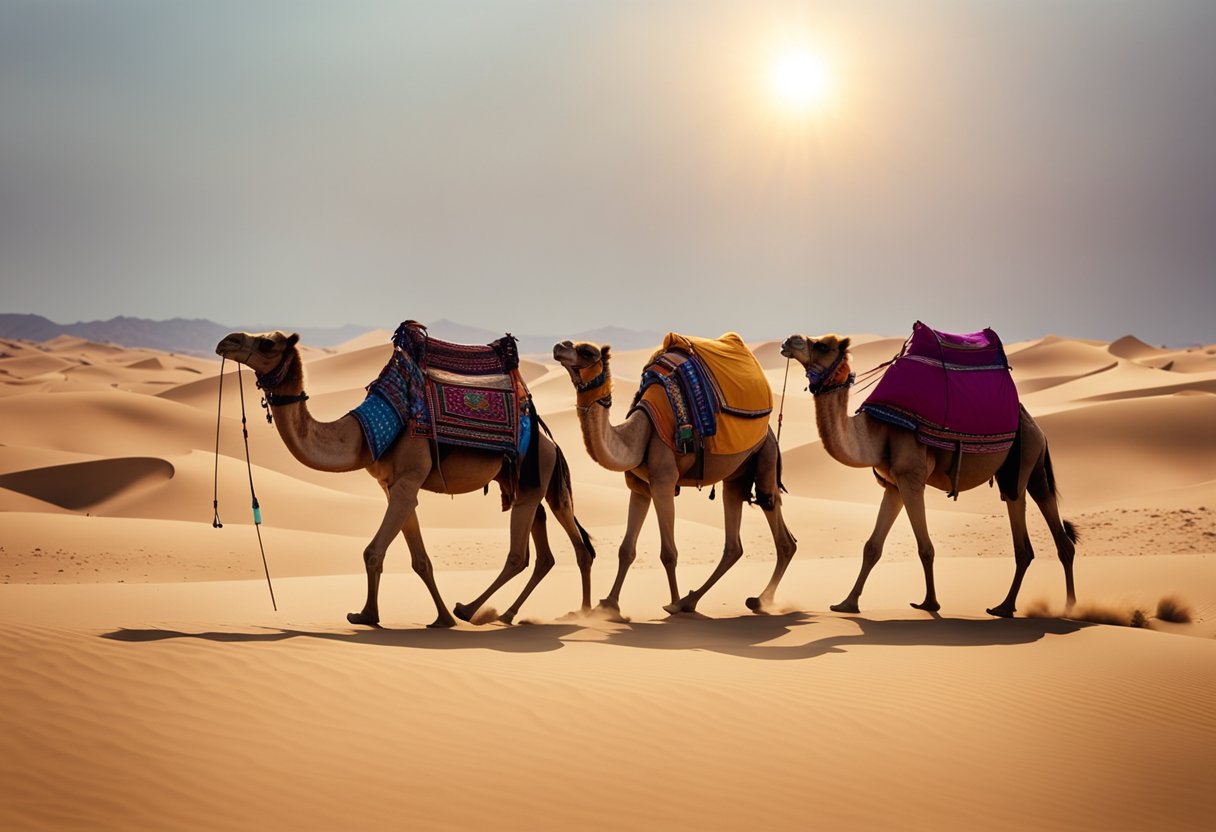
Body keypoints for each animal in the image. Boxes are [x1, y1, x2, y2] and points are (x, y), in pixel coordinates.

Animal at [218, 328, 598, 627]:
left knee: (521, 555)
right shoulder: (395, 487)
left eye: (268, 344)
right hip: (526, 483)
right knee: (552, 550)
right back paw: (511, 614)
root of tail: (551, 442)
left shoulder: (407, 480)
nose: (227, 341)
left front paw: (368, 615)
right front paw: (436, 618)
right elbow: (420, 560)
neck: (364, 433)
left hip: (534, 474)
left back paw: (472, 609)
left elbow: (372, 552)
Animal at [552, 338, 797, 617]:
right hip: (737, 476)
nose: (559, 347)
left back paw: (747, 601)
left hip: (765, 457)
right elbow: (626, 550)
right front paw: (609, 604)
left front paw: (672, 602)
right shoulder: (639, 488)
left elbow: (669, 552)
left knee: (777, 526)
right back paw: (696, 600)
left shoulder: (664, 483)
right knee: (735, 543)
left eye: (586, 352)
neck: (638, 435)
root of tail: (771, 432)